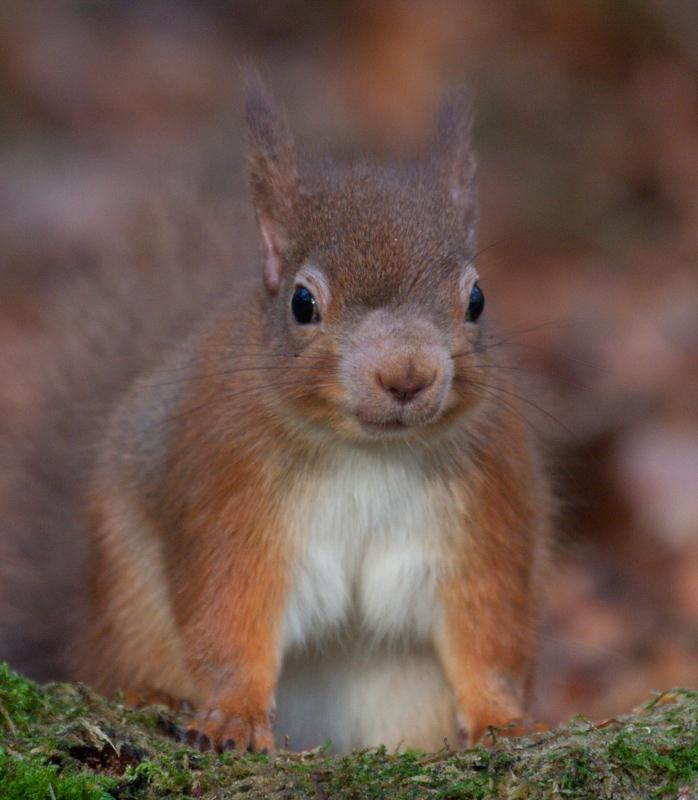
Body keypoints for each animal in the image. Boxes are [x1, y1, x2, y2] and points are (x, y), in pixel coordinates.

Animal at [69, 75, 551, 755]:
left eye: (477, 299)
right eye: (302, 302)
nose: (407, 374)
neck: (370, 453)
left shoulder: (485, 505)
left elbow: (488, 623)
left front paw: (504, 718)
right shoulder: (227, 490)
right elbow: (229, 612)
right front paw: (233, 715)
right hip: (124, 605)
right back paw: (148, 693)